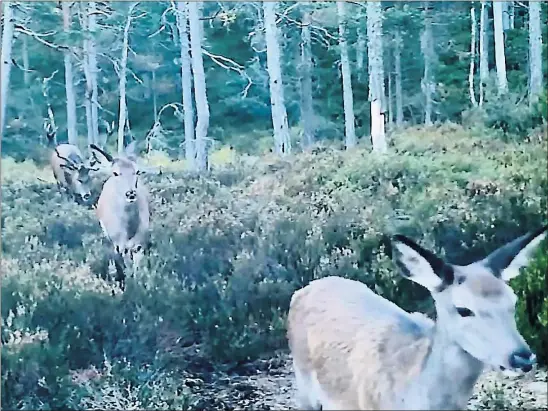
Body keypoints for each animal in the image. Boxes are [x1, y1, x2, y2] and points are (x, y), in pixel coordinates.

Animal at [89, 141, 151, 290]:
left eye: (137, 171)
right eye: (116, 173)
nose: (130, 193)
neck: (129, 230)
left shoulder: (140, 242)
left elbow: (137, 269)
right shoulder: (119, 243)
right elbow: (124, 267)